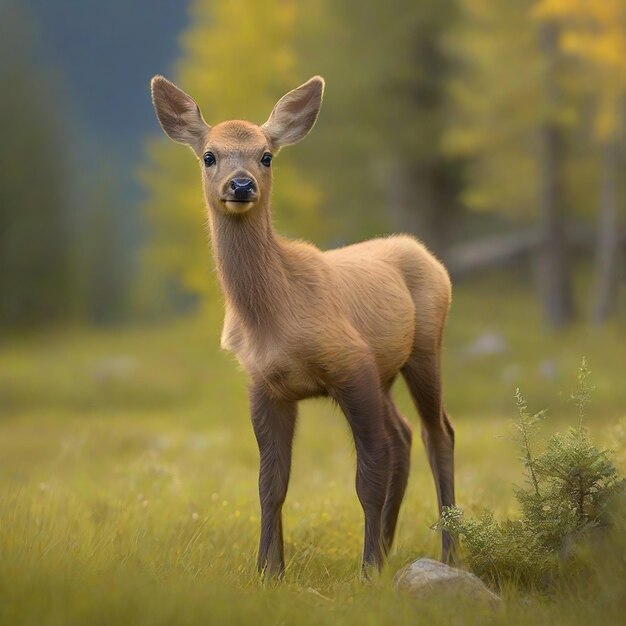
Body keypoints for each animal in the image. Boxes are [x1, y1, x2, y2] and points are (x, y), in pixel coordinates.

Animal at [151, 75, 454, 576]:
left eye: (266, 155)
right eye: (209, 155)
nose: (240, 185)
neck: (275, 315)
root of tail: (430, 257)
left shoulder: (352, 364)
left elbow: (368, 477)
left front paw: (367, 571)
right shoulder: (265, 383)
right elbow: (270, 484)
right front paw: (268, 570)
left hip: (425, 348)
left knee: (436, 434)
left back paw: (447, 551)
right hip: (387, 372)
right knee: (404, 434)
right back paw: (390, 545)